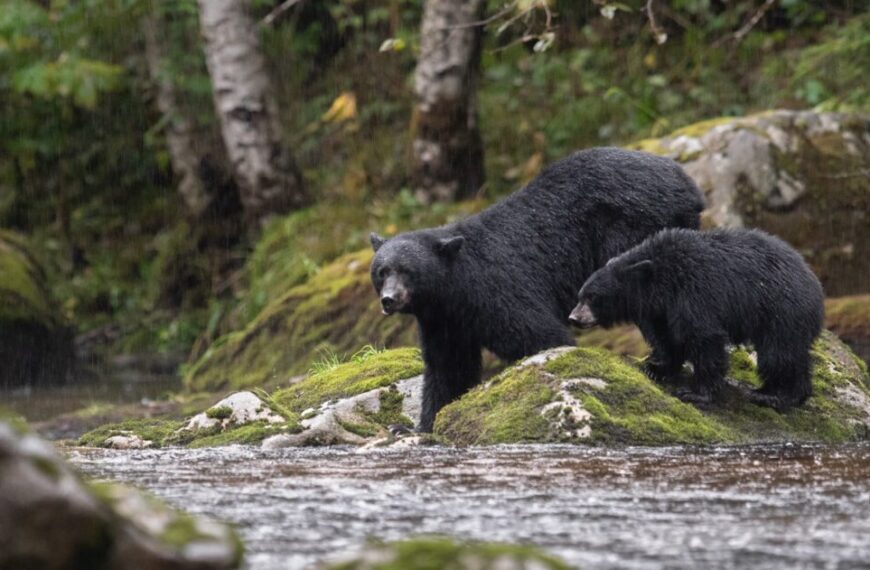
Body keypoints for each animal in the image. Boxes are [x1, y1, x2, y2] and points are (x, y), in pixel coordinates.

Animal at [370, 147, 706, 432]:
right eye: (382, 271)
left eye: (407, 271)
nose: (389, 300)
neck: (455, 288)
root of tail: (688, 183)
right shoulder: (444, 320)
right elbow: (448, 367)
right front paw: (415, 427)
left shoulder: (497, 289)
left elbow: (538, 334)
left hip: (634, 229)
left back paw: (661, 362)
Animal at [568, 227, 825, 410]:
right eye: (580, 295)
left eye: (592, 297)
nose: (573, 317)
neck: (661, 280)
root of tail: (816, 285)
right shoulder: (659, 310)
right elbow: (665, 337)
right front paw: (656, 367)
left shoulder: (695, 291)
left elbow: (704, 337)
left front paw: (696, 392)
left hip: (782, 311)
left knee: (779, 354)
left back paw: (775, 395)